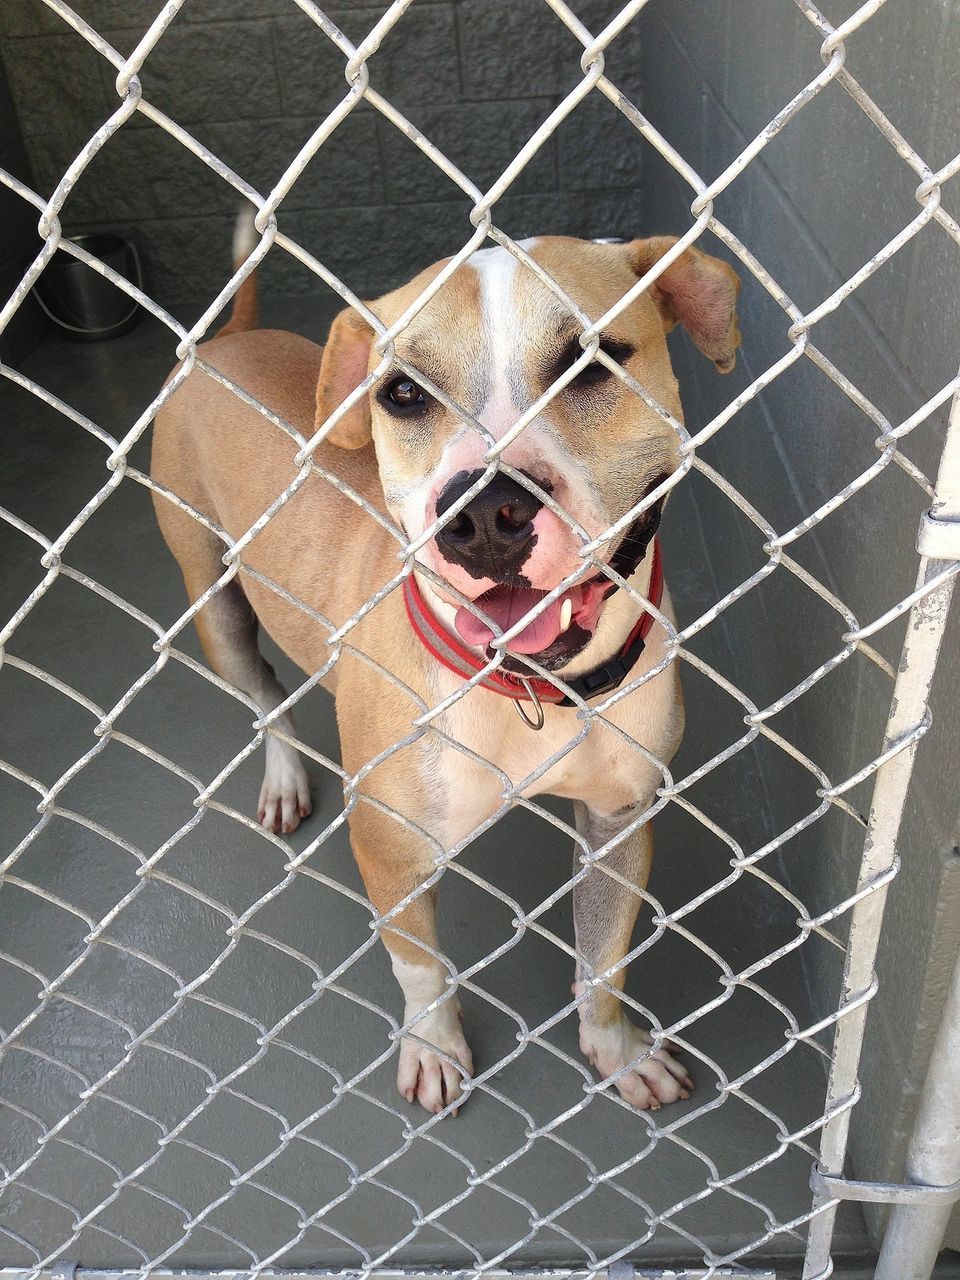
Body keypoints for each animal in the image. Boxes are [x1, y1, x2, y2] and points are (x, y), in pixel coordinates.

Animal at [150, 225, 742, 1116]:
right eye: (401, 394)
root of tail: (222, 342)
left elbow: (604, 961)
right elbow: (420, 967)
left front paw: (617, 1049)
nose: (486, 514)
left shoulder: (620, 821)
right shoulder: (389, 848)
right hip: (213, 605)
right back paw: (283, 774)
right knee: (266, 697)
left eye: (591, 363)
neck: (534, 690)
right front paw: (433, 1047)